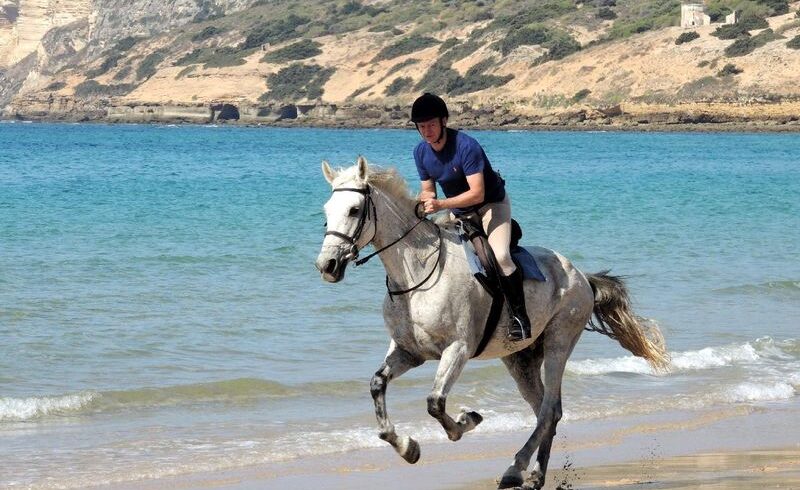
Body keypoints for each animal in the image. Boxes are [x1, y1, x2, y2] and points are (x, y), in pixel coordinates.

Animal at [315, 156, 669, 489]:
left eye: (354, 210)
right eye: (327, 211)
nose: (327, 265)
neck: (416, 273)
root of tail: (581, 275)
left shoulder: (457, 349)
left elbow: (435, 403)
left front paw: (466, 421)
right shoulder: (409, 352)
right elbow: (378, 386)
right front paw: (407, 447)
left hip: (559, 342)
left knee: (547, 410)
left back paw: (515, 469)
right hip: (520, 358)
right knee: (548, 410)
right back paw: (535, 475)